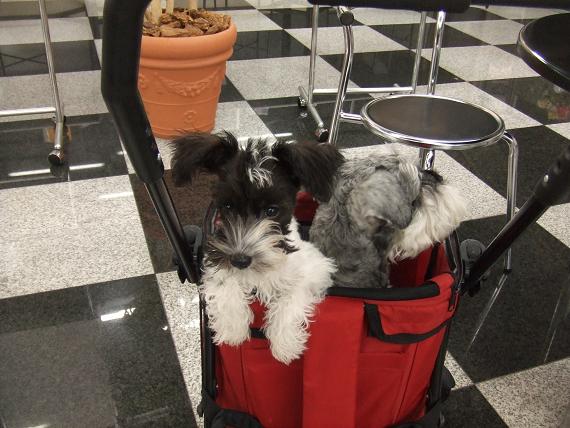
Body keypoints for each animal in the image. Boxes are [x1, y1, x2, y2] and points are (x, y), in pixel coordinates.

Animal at [171, 132, 343, 364]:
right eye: (227, 206)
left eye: (272, 210)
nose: (240, 260)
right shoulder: (213, 261)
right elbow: (224, 282)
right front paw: (232, 329)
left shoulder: (317, 269)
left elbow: (292, 297)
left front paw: (285, 345)